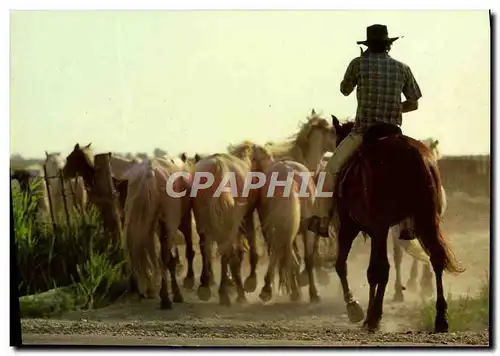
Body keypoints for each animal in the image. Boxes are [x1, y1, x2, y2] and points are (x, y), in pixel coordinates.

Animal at [324, 118, 464, 332]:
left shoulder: (351, 226)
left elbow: (343, 265)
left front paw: (355, 308)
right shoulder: (377, 230)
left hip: (383, 225)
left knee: (381, 268)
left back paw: (373, 317)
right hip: (426, 220)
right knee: (436, 257)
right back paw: (440, 319)